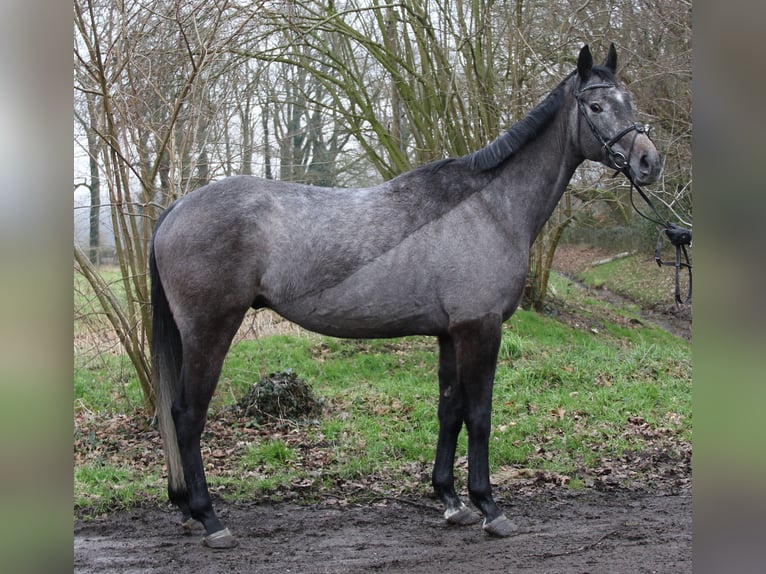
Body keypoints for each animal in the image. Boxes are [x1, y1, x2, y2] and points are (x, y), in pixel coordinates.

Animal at [152, 45, 664, 548]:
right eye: (596, 107)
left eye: (630, 101)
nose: (649, 162)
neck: (488, 207)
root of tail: (177, 207)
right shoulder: (480, 329)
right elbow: (479, 415)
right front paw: (489, 508)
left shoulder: (450, 334)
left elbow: (449, 412)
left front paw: (452, 502)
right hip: (209, 331)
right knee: (187, 415)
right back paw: (210, 519)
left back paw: (189, 512)